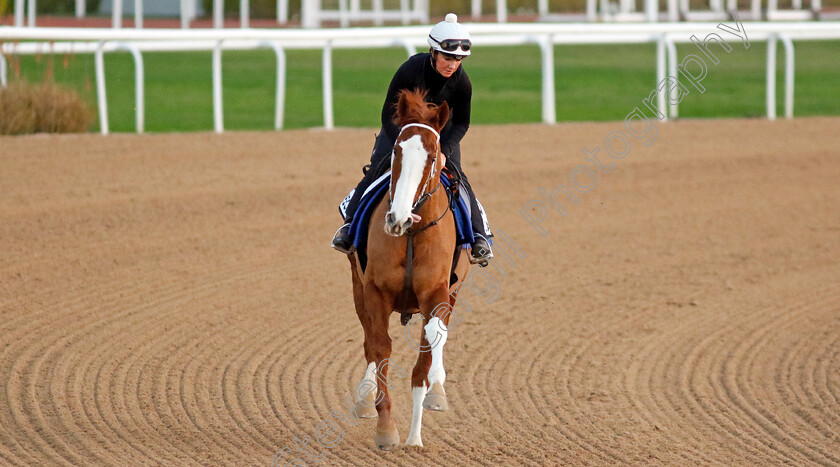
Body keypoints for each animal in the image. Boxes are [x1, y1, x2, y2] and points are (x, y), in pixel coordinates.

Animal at [346, 89, 470, 452]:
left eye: (432, 156)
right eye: (397, 150)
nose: (397, 217)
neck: (412, 232)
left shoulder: (437, 293)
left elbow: (426, 356)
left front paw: (415, 436)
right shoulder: (373, 291)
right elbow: (380, 348)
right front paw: (386, 429)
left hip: (455, 290)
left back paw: (438, 391)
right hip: (357, 285)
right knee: (369, 342)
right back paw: (364, 395)